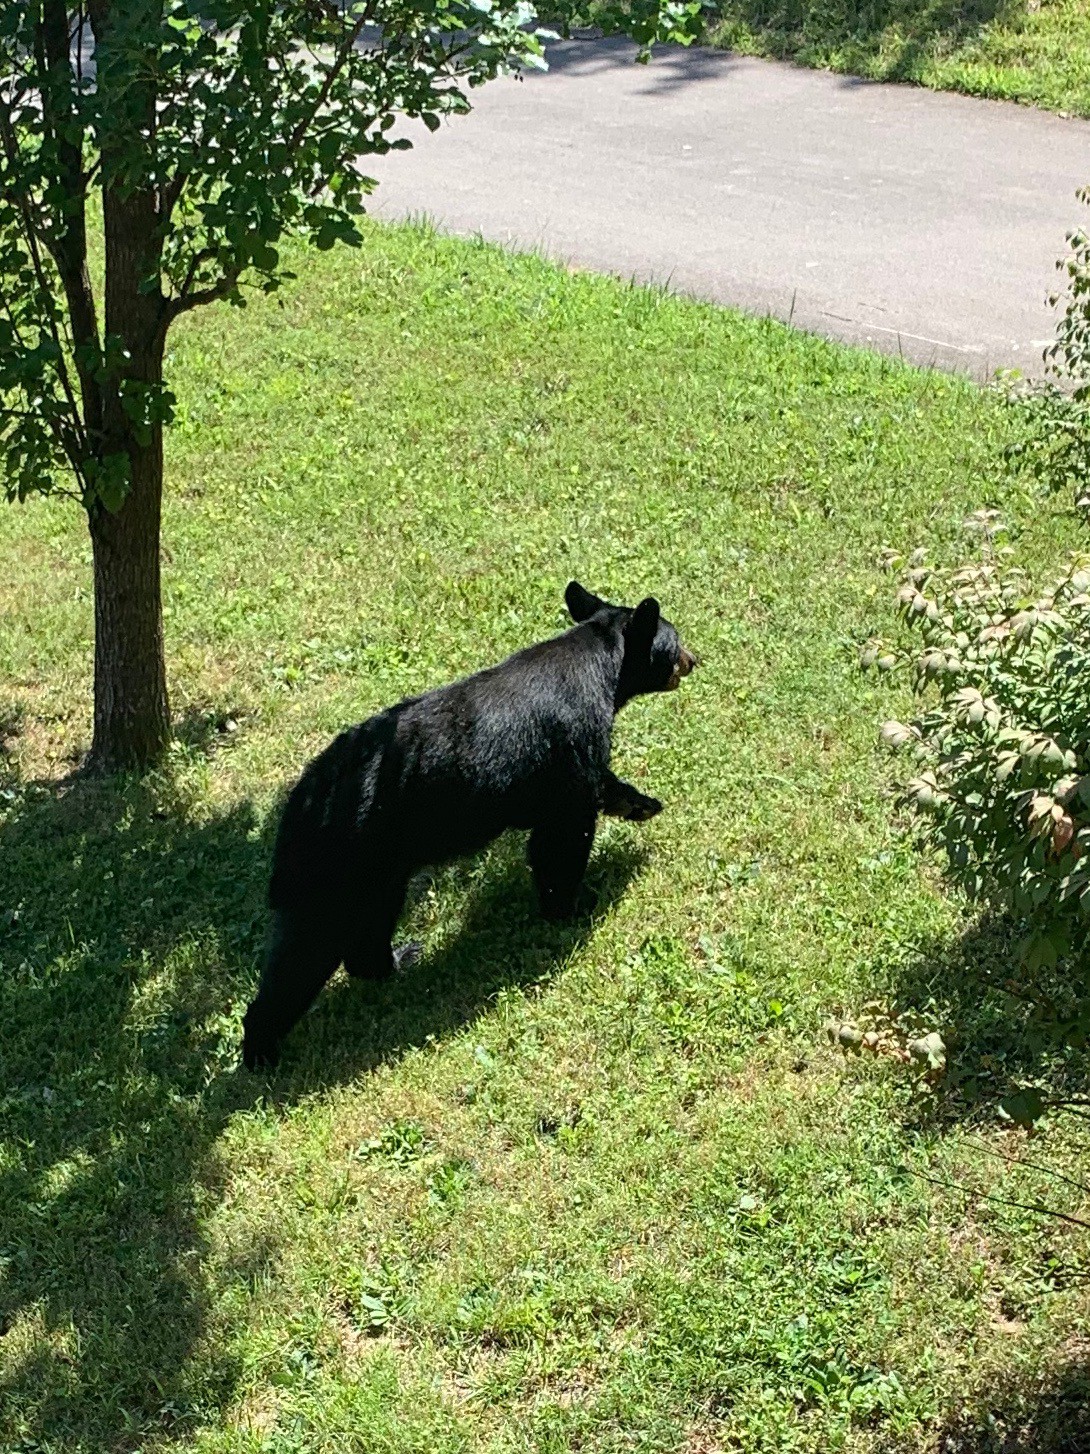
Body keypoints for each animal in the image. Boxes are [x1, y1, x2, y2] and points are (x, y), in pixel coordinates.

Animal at [242, 578, 694, 1070]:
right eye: (675, 640)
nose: (693, 660)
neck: (600, 669)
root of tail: (296, 808)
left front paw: (642, 803)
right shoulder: (570, 744)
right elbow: (563, 832)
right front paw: (571, 905)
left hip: (380, 871)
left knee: (368, 927)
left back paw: (400, 958)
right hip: (338, 867)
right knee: (305, 952)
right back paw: (261, 1051)